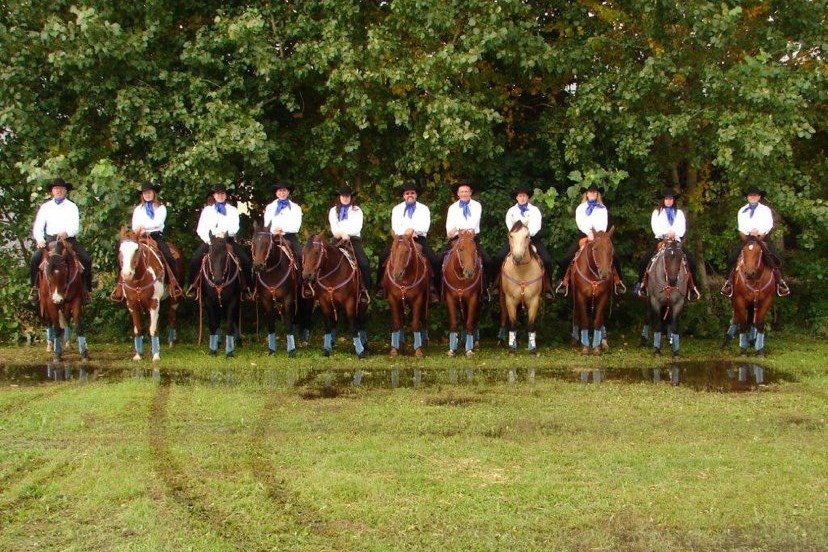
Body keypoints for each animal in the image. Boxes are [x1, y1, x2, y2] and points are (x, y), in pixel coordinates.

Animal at [114, 230, 182, 362]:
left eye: (136, 250)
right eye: (120, 250)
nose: (127, 274)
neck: (138, 280)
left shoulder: (154, 302)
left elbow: (153, 329)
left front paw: (156, 355)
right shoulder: (132, 305)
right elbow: (138, 329)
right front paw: (138, 355)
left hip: (174, 299)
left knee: (171, 316)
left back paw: (171, 343)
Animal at [254, 222, 306, 356]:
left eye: (267, 242)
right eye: (253, 242)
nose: (258, 265)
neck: (273, 272)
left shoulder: (288, 298)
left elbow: (288, 322)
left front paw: (291, 350)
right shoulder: (266, 301)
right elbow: (271, 324)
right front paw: (271, 350)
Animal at [498, 222, 544, 356]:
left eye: (527, 236)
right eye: (511, 235)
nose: (518, 257)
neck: (522, 272)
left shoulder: (534, 300)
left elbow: (531, 324)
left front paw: (532, 348)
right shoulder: (510, 300)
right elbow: (513, 323)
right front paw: (511, 348)